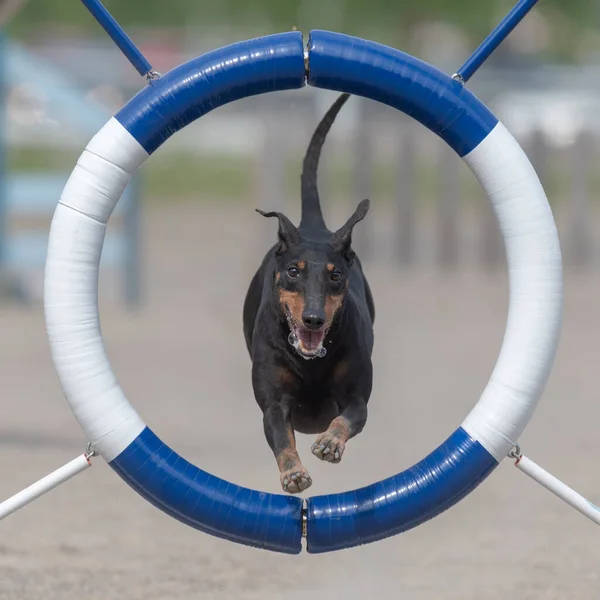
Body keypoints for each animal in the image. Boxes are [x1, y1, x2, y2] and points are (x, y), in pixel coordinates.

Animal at [240, 94, 372, 494]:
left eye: (336, 275)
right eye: (294, 272)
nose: (314, 319)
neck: (311, 359)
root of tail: (312, 224)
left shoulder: (357, 396)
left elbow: (349, 418)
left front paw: (329, 442)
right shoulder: (274, 403)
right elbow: (282, 437)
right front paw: (293, 473)